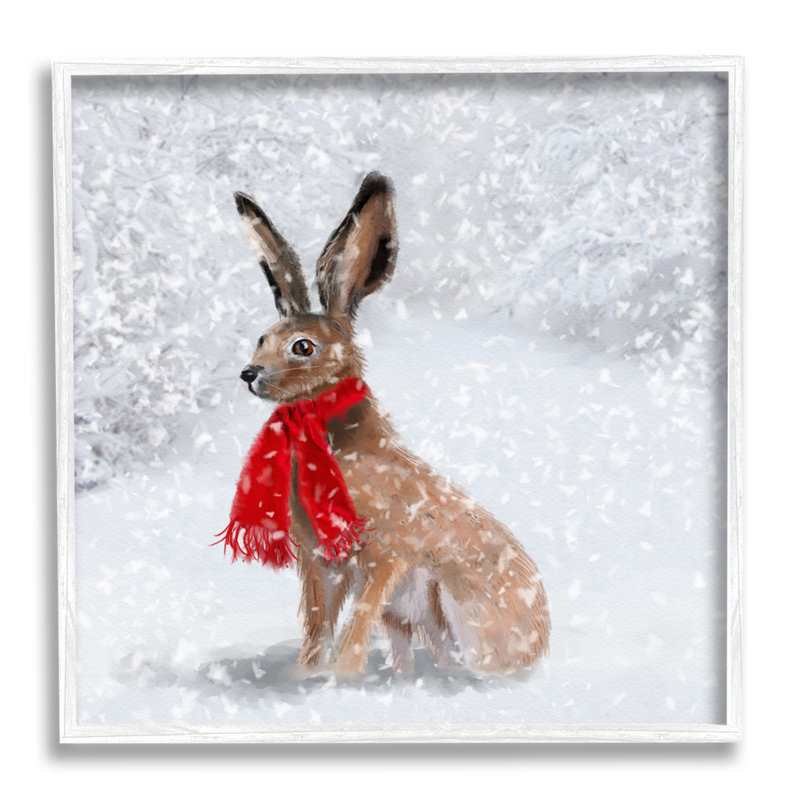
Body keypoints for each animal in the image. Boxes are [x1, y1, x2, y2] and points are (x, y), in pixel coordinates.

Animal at [231, 172, 550, 675]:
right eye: (261, 338)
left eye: (302, 347)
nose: (249, 373)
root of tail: (542, 645)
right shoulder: (320, 566)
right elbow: (318, 625)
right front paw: (310, 673)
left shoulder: (385, 558)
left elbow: (355, 625)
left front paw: (340, 677)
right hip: (409, 621)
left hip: (452, 606)